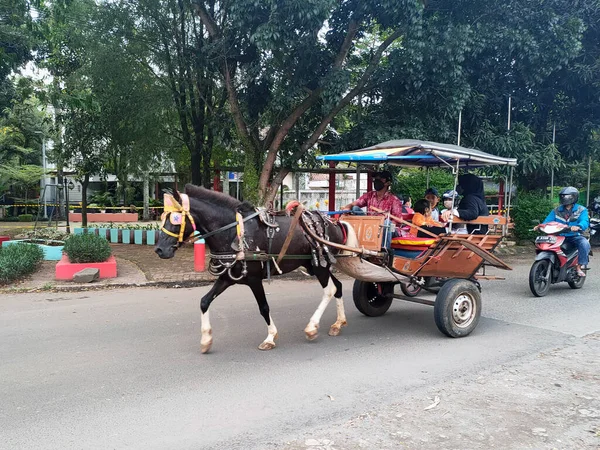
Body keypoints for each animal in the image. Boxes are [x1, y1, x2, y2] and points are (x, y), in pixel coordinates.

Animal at [155, 185, 358, 354]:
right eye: (163, 217)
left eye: (175, 219)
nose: (159, 249)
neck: (234, 233)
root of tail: (334, 223)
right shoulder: (228, 278)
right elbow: (204, 301)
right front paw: (206, 340)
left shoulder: (253, 279)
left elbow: (264, 307)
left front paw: (270, 337)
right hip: (316, 265)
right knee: (338, 287)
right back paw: (338, 323)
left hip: (319, 266)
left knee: (330, 289)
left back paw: (312, 327)